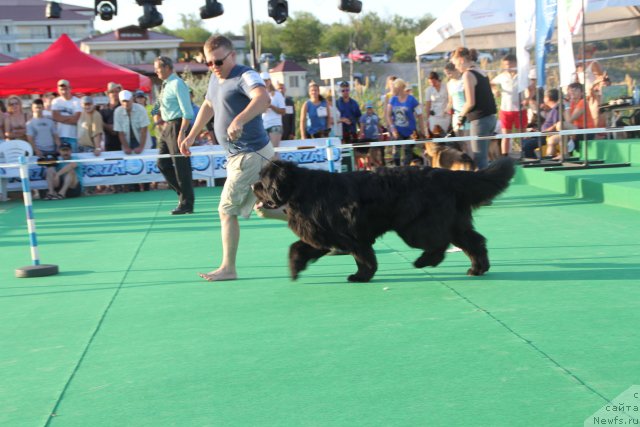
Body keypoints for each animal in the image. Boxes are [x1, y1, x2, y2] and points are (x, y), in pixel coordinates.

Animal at [252, 159, 516, 282]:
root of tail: (446, 174)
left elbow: (363, 257)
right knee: (473, 241)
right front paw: (295, 268)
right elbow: (297, 247)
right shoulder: (320, 234)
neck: (299, 190)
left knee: (439, 242)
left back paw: (423, 261)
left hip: (415, 226)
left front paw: (360, 277)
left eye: (263, 182)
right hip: (454, 221)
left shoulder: (349, 236)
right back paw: (477, 268)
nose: (253, 186)